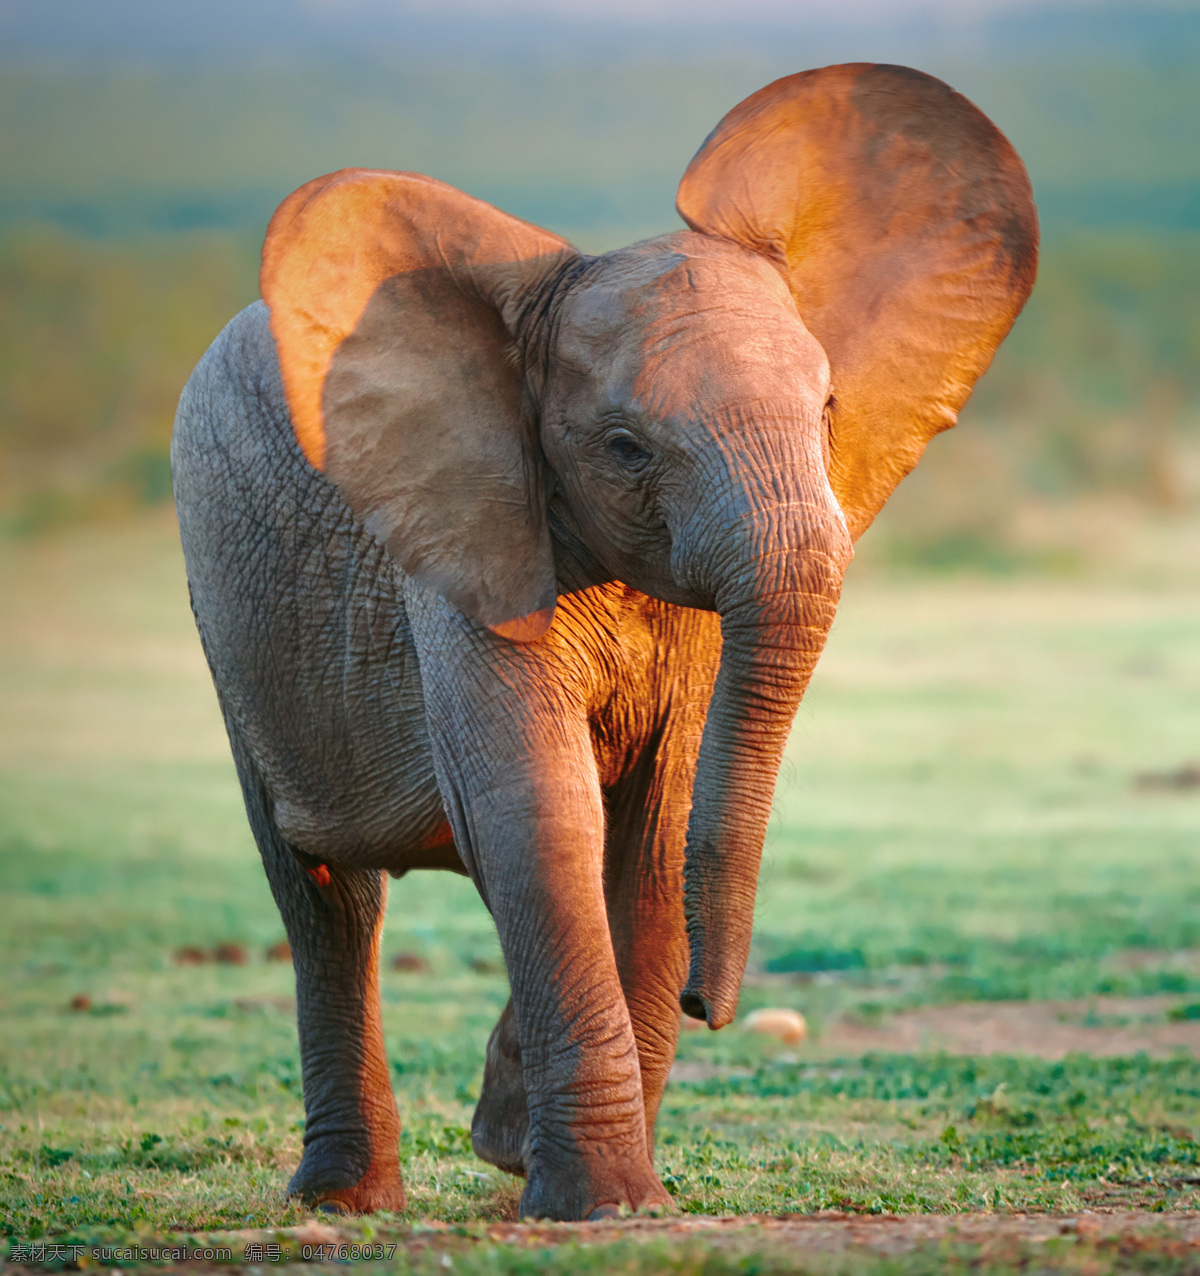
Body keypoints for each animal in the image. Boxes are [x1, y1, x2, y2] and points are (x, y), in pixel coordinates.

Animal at [171, 64, 1041, 1219]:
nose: (714, 1003)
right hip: (228, 609)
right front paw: (602, 1204)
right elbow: (540, 811)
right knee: (324, 895)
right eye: (625, 448)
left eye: (828, 409)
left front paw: (538, 1157)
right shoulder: (464, 537)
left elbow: (660, 828)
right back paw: (342, 1200)